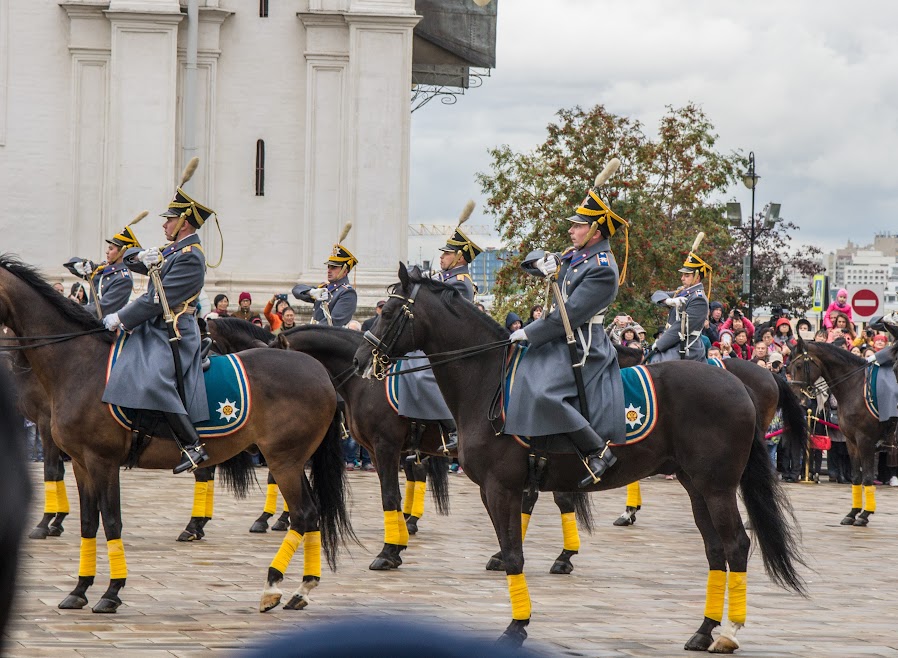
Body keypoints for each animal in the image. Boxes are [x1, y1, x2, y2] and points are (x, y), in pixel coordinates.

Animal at [0, 254, 352, 612]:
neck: (77, 364)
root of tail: (319, 372)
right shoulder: (82, 463)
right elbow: (89, 522)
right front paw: (79, 589)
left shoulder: (102, 460)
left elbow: (111, 520)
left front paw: (111, 592)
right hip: (291, 460)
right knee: (312, 514)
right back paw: (301, 588)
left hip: (284, 460)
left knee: (304, 514)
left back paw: (275, 584)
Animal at [208, 318, 596, 576]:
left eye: (212, 347)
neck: (363, 380)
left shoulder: (384, 447)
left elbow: (389, 496)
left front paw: (389, 551)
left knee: (558, 498)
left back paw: (561, 556)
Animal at [354, 262, 808, 652]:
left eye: (389, 310)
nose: (361, 360)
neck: (487, 381)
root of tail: (737, 382)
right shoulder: (506, 485)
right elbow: (517, 539)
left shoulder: (499, 486)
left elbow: (514, 552)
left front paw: (517, 626)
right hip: (695, 485)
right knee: (715, 550)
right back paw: (703, 629)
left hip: (717, 486)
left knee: (736, 545)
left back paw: (728, 633)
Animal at [788, 336, 892, 524]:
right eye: (788, 367)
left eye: (798, 366)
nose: (795, 396)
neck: (854, 386)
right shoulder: (851, 441)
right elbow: (857, 476)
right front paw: (853, 512)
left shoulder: (865, 440)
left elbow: (867, 476)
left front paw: (864, 515)